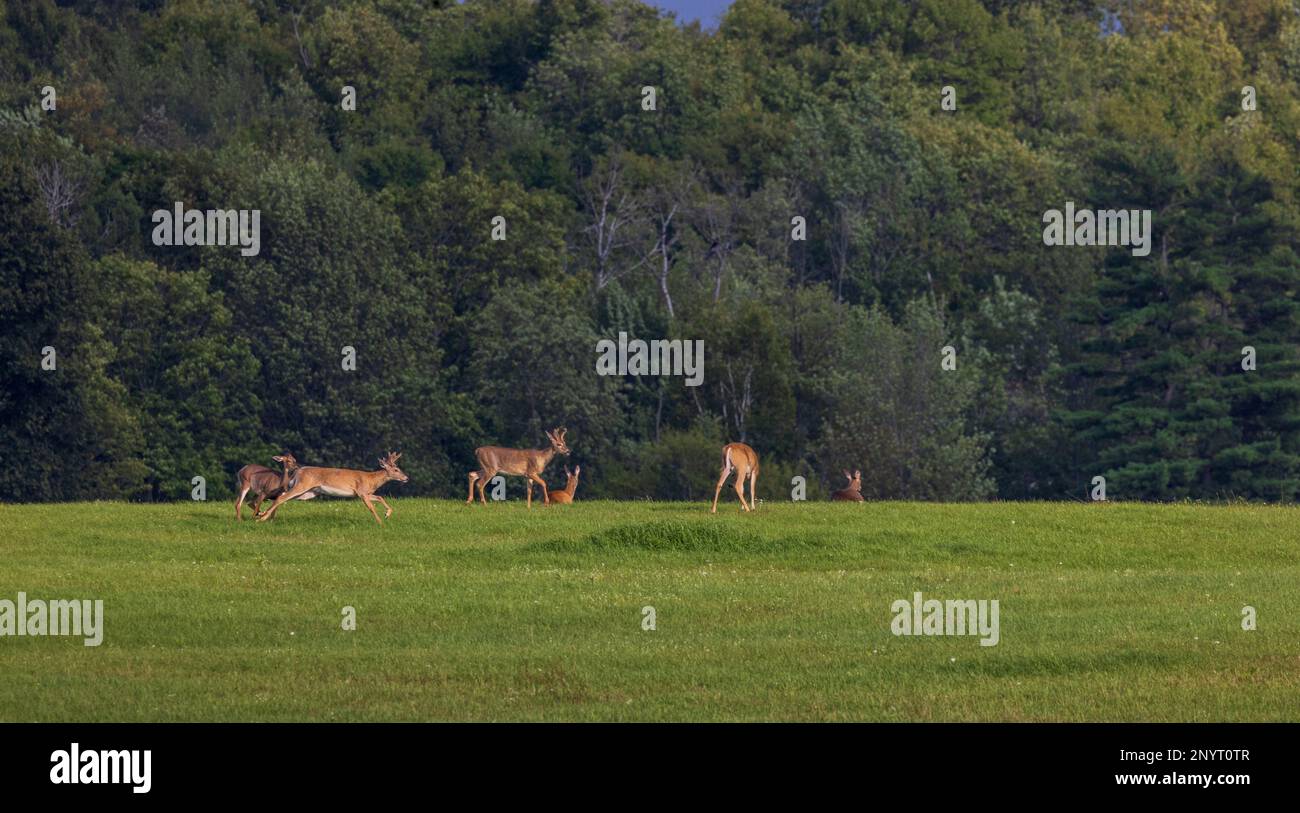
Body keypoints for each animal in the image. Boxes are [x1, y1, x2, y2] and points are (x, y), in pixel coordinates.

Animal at [256, 451, 409, 525]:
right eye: (396, 469)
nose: (406, 478)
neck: (371, 480)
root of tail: (298, 471)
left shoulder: (366, 493)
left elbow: (380, 497)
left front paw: (387, 514)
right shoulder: (361, 492)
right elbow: (371, 507)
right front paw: (380, 522)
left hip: (308, 493)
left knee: (281, 497)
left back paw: (263, 515)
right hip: (302, 485)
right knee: (281, 498)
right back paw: (262, 518)